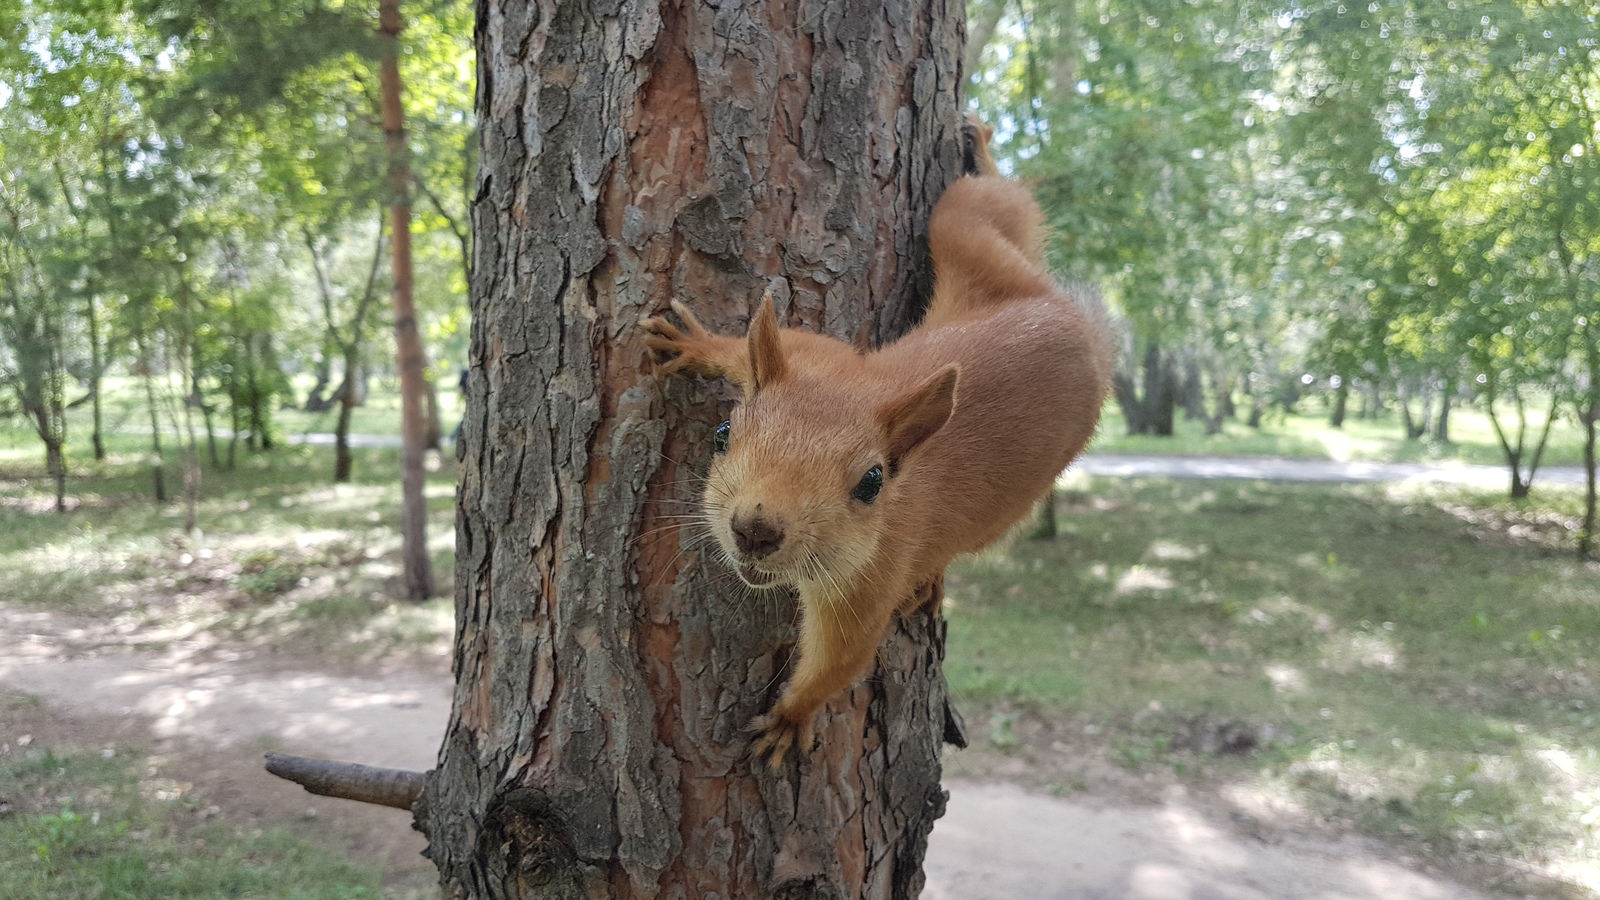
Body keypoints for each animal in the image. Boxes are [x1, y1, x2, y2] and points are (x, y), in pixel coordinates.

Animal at [636, 108, 1113, 759]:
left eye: (870, 484)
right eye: (722, 433)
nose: (755, 529)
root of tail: (1077, 326)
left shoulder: (867, 584)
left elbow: (841, 658)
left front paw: (791, 716)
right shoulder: (821, 359)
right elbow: (761, 347)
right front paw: (697, 345)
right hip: (971, 239)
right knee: (997, 211)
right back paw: (984, 149)